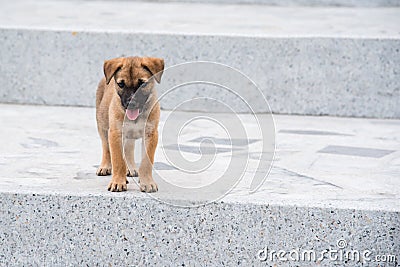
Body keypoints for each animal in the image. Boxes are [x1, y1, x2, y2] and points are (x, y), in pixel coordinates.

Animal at [95, 57, 164, 194]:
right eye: (121, 84)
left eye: (142, 84)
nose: (131, 103)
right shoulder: (115, 133)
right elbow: (117, 160)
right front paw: (118, 182)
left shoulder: (151, 134)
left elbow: (146, 162)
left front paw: (147, 182)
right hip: (102, 126)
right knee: (106, 148)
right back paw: (105, 166)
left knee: (128, 149)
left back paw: (130, 168)